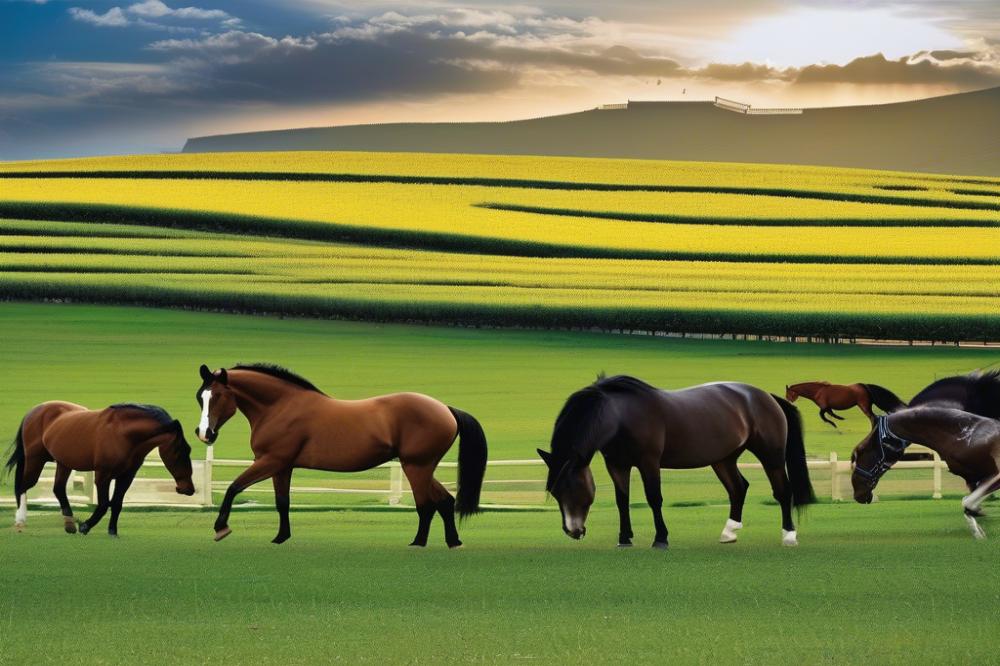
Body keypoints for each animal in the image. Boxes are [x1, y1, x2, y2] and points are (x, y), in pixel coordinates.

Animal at [5, 402, 194, 536]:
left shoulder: (126, 476)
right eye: (179, 452)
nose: (188, 489)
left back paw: (69, 523)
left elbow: (116, 503)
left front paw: (112, 531)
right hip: (35, 459)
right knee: (23, 486)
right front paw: (85, 526)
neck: (122, 434)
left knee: (58, 489)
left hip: (63, 463)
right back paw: (20, 520)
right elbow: (104, 504)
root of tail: (34, 411)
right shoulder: (103, 475)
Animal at [194, 363, 488, 547]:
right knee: (445, 501)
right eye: (201, 397)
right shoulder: (282, 467)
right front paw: (281, 538)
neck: (280, 407)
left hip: (416, 466)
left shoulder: (270, 461)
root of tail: (446, 409)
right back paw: (453, 542)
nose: (204, 433)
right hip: (420, 467)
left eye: (218, 396)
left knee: (426, 505)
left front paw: (221, 528)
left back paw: (418, 543)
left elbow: (233, 488)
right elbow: (282, 502)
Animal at [536, 375, 815, 548]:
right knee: (738, 488)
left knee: (782, 491)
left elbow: (654, 498)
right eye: (555, 492)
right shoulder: (617, 465)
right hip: (723, 459)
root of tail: (766, 396)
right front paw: (624, 538)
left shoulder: (649, 462)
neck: (620, 416)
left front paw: (661, 539)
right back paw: (728, 532)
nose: (573, 531)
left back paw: (789, 536)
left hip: (771, 457)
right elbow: (622, 500)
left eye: (573, 488)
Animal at [851, 407, 1000, 539]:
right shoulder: (972, 479)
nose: (858, 493)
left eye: (862, 450)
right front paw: (980, 532)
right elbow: (969, 507)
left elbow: (967, 503)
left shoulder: (995, 476)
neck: (968, 436)